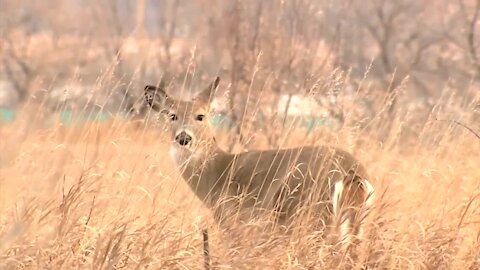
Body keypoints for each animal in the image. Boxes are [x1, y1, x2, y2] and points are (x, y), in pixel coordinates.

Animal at [143, 77, 376, 244]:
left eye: (200, 116)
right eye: (172, 116)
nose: (184, 138)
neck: (218, 174)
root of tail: (352, 173)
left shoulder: (233, 222)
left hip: (312, 216)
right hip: (357, 222)